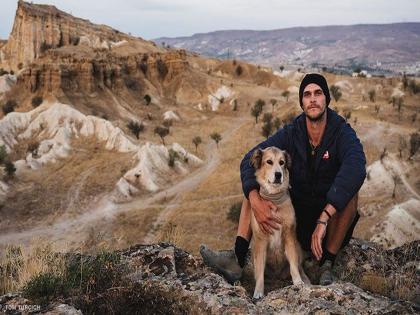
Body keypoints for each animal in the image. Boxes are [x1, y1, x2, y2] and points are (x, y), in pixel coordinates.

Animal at [249, 147, 308, 300]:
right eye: (269, 161)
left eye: (282, 162)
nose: (278, 175)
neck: (274, 200)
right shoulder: (260, 241)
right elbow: (259, 272)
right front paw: (258, 292)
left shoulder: (289, 236)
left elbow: (293, 265)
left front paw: (298, 282)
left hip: (298, 247)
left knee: (299, 266)